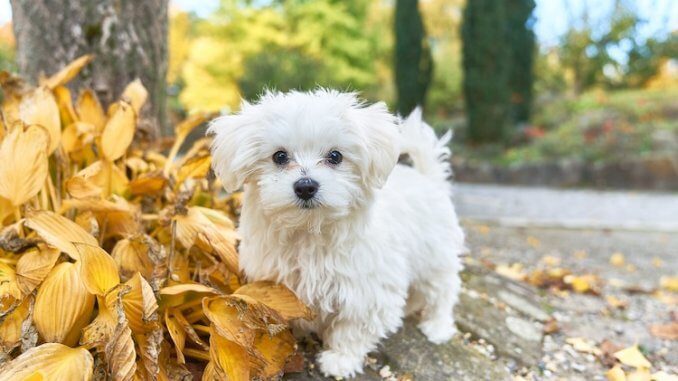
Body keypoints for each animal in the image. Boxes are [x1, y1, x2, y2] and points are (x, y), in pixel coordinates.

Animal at [210, 89, 468, 378]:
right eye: (279, 157)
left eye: (335, 156)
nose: (306, 186)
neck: (310, 232)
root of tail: (429, 179)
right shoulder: (278, 283)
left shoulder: (367, 291)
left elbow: (353, 328)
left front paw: (340, 360)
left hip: (435, 257)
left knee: (443, 290)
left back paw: (437, 326)